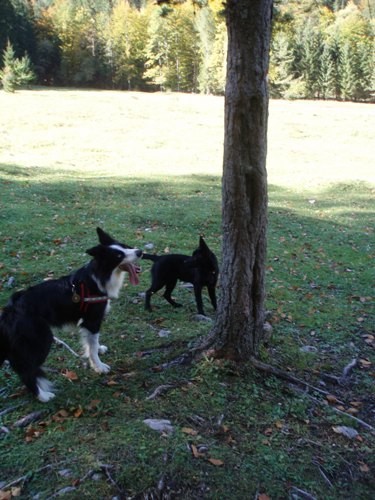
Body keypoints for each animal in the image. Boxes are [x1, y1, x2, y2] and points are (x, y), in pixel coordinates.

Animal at [0, 229, 142, 404]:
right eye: (118, 256)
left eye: (125, 246)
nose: (140, 252)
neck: (99, 275)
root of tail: (10, 311)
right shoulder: (91, 320)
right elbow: (92, 346)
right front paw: (99, 366)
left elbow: (92, 343)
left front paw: (98, 350)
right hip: (41, 339)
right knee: (28, 371)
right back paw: (43, 396)